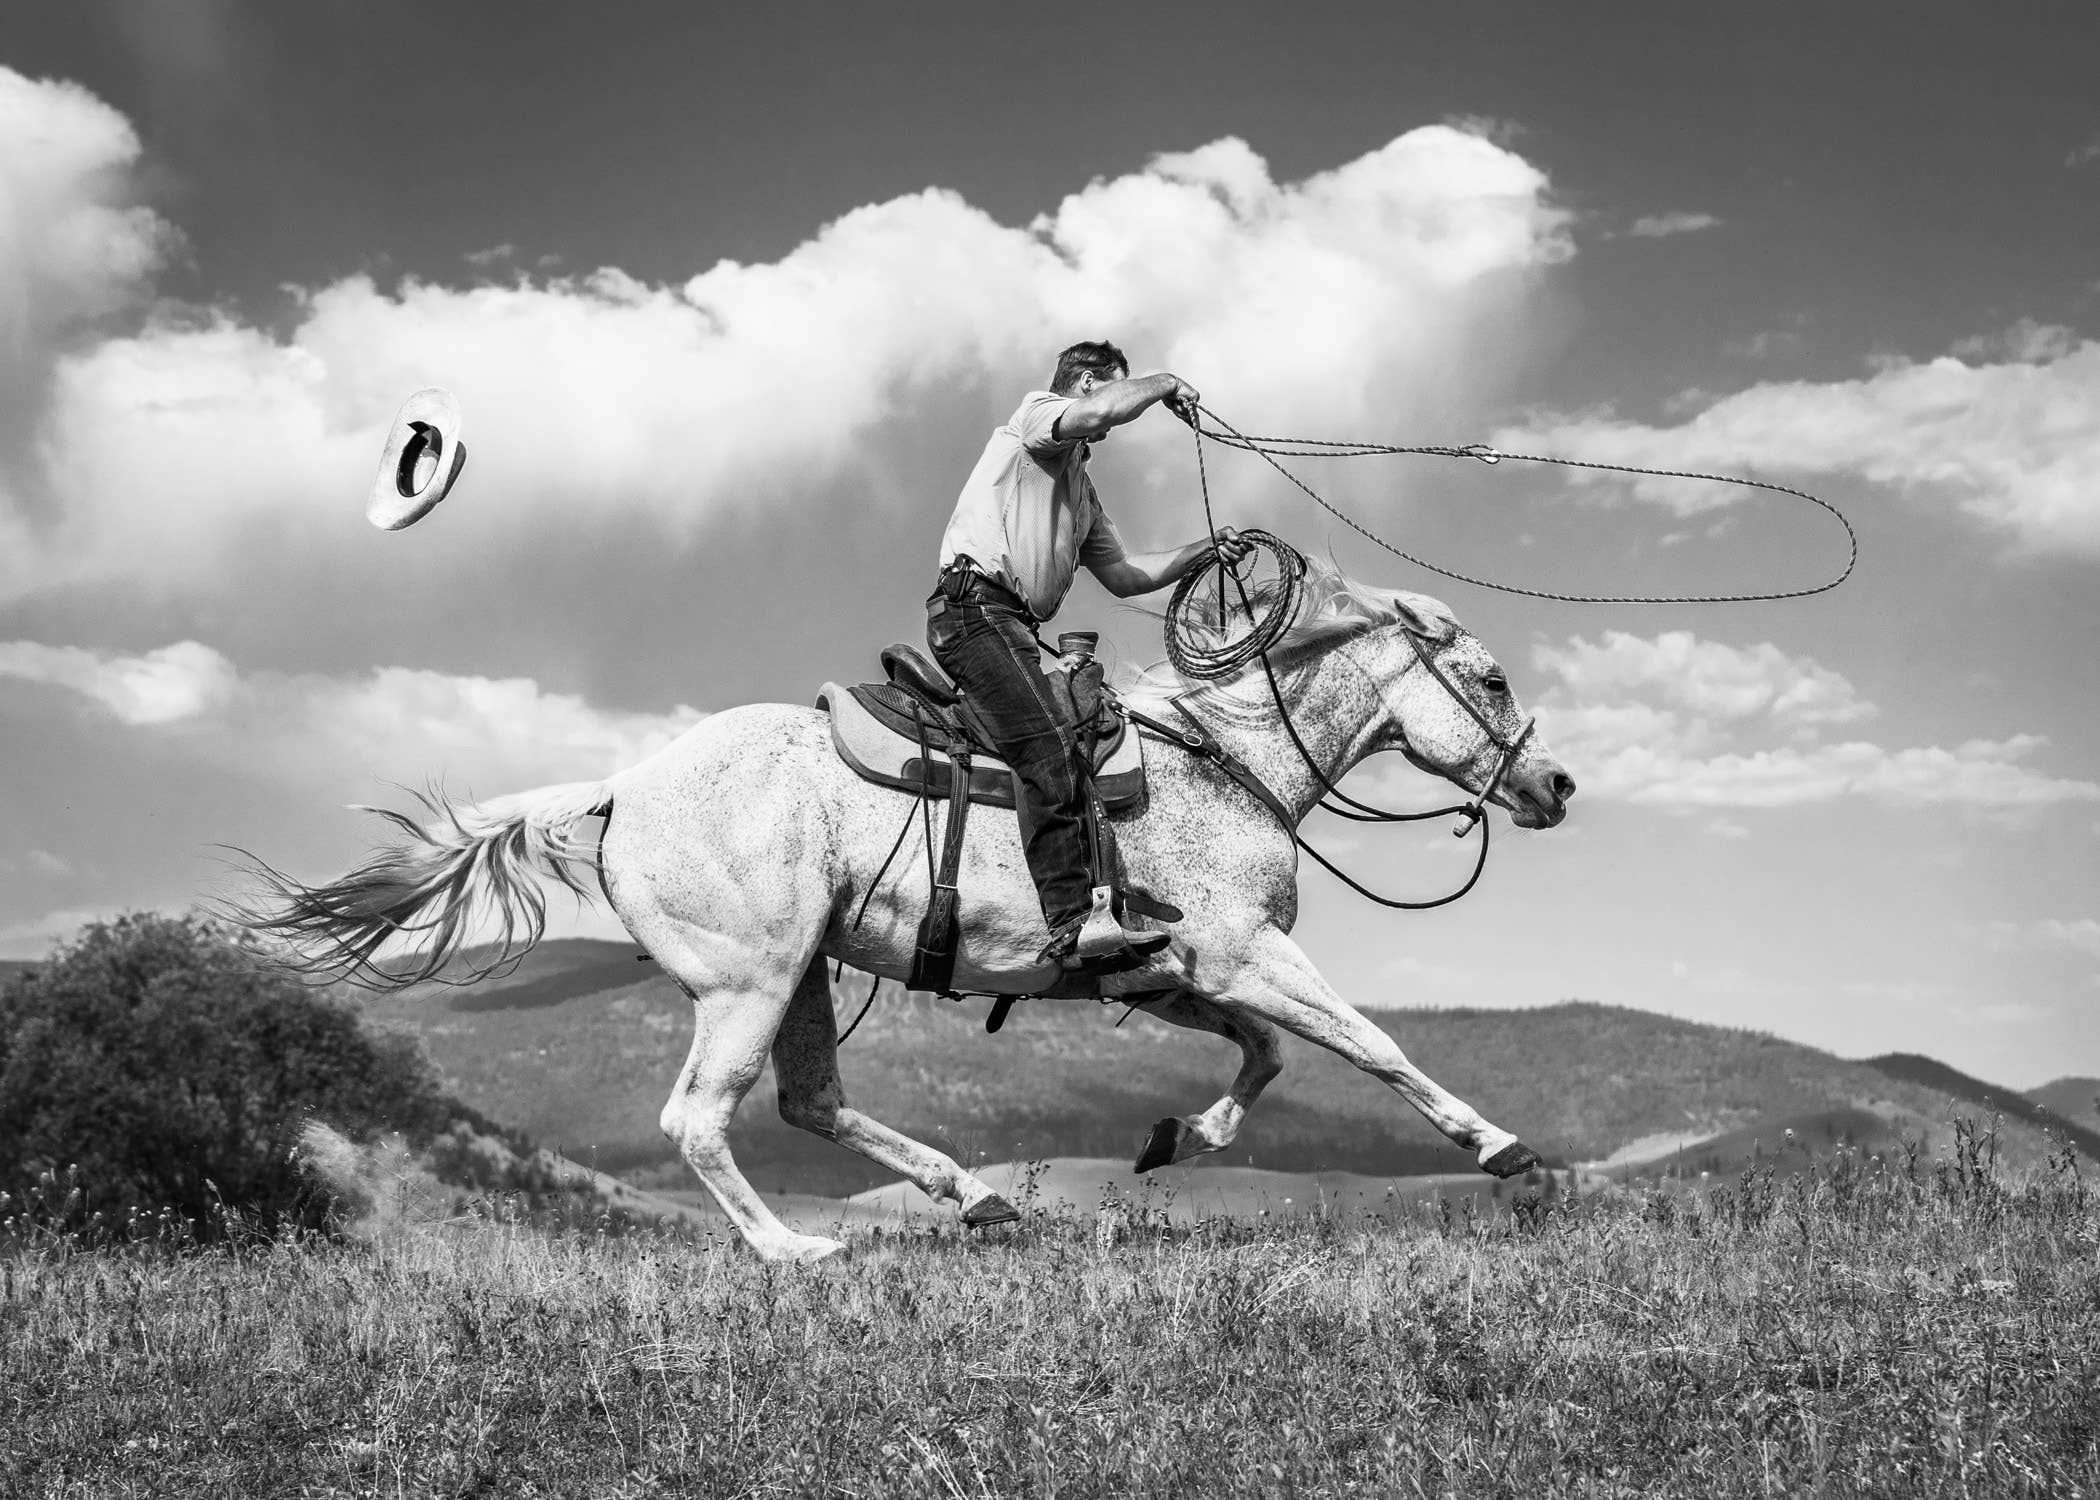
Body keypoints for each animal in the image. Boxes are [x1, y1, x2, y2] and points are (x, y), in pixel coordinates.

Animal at [235, 556, 1576, 1262]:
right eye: (1492, 676)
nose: (1556, 785)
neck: (1226, 763)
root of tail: (623, 785)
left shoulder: (1179, 976)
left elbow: (1266, 1063)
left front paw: (1173, 1139)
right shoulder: (1249, 954)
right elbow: (1373, 1047)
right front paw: (1512, 1155)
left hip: (804, 979)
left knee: (811, 1102)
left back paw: (974, 1196)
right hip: (750, 982)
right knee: (700, 1120)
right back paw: (794, 1253)